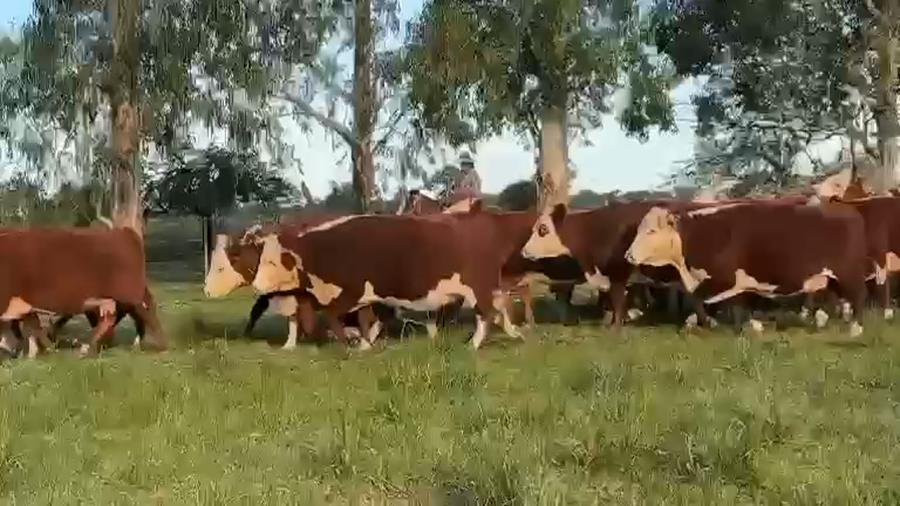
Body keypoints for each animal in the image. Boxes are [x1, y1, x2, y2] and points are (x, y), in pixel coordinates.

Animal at [251, 210, 540, 349]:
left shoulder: (351, 292)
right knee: (499, 309)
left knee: (487, 314)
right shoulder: (371, 296)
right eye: (262, 258)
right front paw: (365, 343)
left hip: (478, 288)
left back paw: (475, 344)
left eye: (272, 262)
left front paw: (351, 343)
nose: (255, 285)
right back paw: (515, 333)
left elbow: (335, 317)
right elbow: (372, 320)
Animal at [623, 202, 869, 337]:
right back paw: (822, 321)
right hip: (830, 277)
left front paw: (702, 322)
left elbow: (705, 300)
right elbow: (738, 302)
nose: (628, 255)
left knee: (857, 296)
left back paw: (856, 328)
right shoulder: (737, 281)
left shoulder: (724, 279)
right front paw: (752, 325)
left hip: (848, 274)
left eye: (651, 231)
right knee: (833, 296)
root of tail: (848, 212)